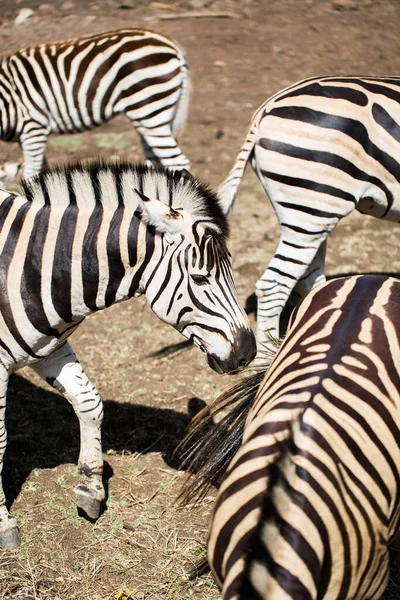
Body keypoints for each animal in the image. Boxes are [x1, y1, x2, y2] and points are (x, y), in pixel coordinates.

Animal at [0, 28, 191, 179]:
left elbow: (30, 175)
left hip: (150, 109)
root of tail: (173, 46)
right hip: (146, 117)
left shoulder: (33, 129)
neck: (6, 100)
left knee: (179, 164)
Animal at [0, 159, 256, 548]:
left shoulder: (50, 348)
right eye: (199, 279)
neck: (35, 268)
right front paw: (3, 522)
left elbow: (90, 403)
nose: (248, 352)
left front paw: (90, 488)